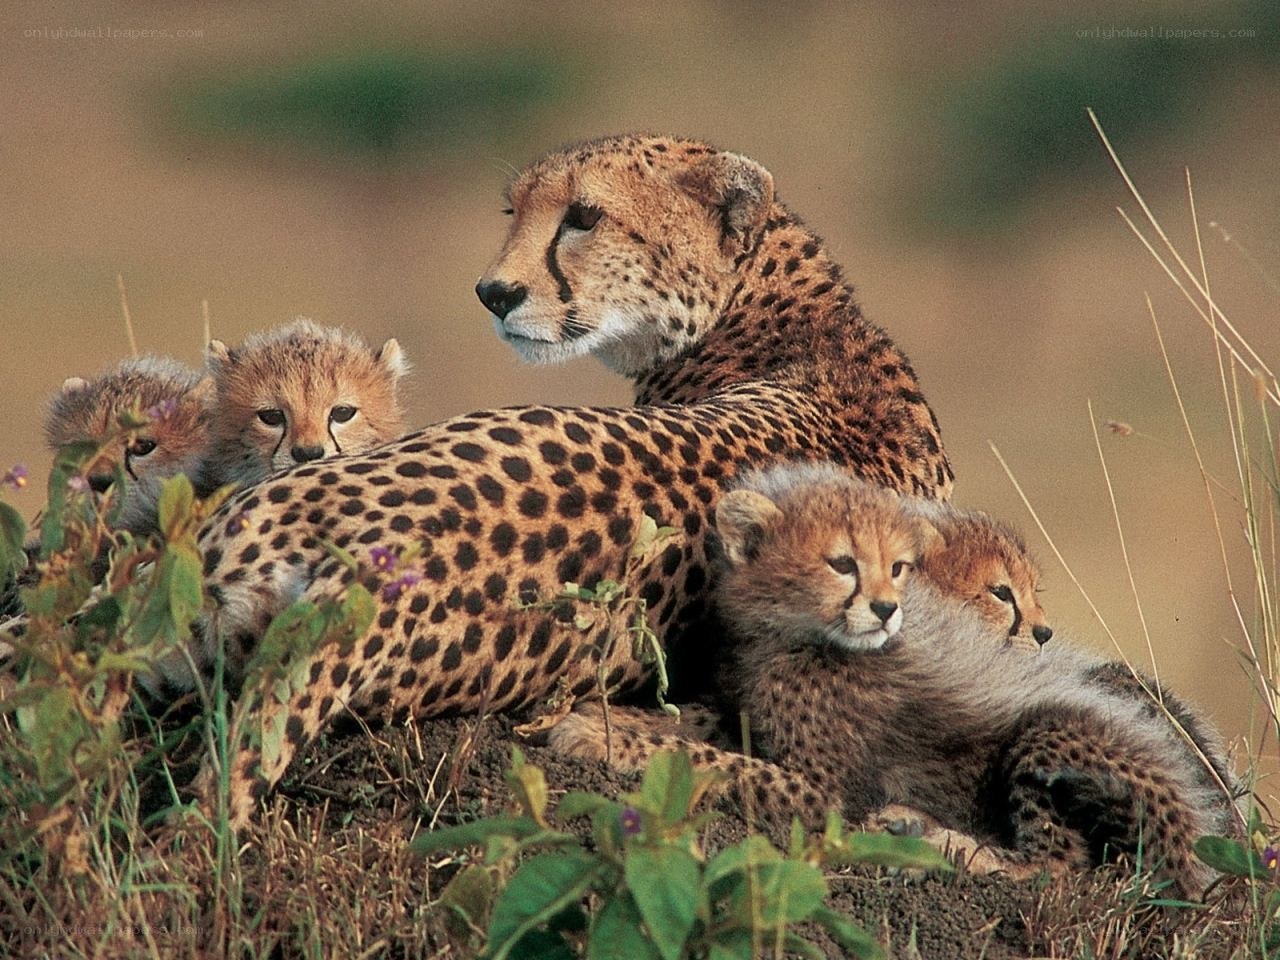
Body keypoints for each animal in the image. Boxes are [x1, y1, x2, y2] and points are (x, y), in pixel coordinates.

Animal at [549, 463, 1240, 895]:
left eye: (899, 568)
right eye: (842, 563)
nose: (885, 609)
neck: (791, 637)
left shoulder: (824, 793)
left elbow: (719, 763)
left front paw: (600, 737)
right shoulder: (745, 705)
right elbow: (696, 723)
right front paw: (610, 720)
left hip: (1055, 732)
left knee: (1056, 865)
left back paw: (936, 840)